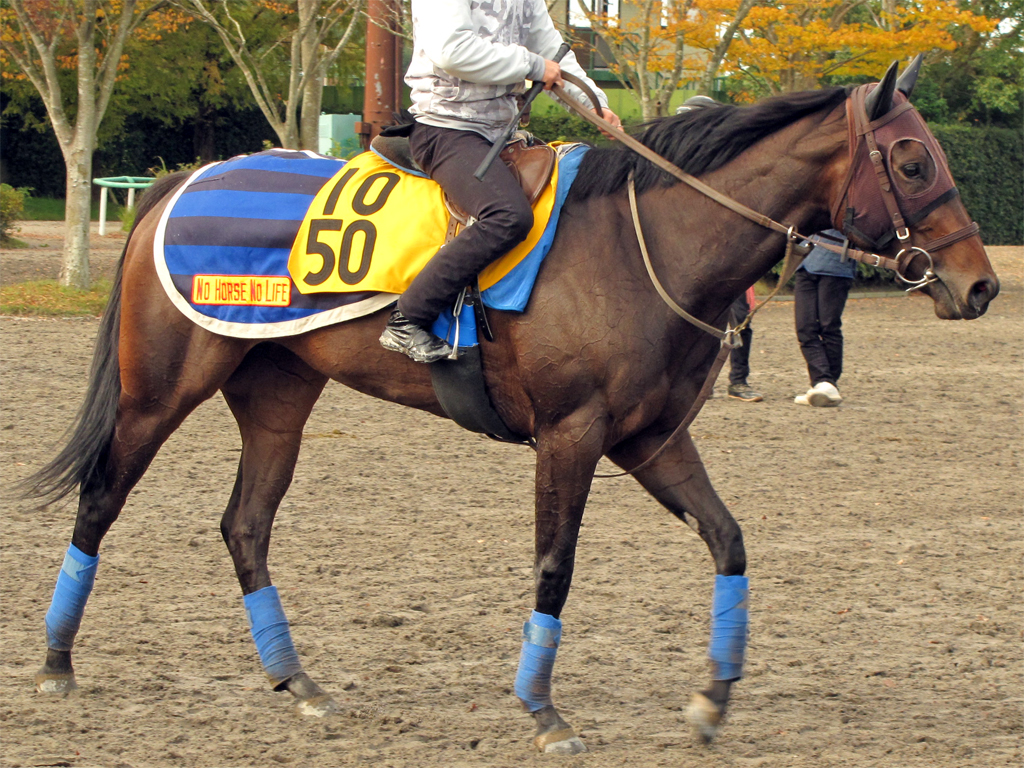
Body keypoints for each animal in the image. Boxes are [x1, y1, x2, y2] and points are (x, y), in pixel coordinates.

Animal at [25, 61, 999, 757]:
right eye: (914, 161)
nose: (980, 284)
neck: (643, 245)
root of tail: (179, 185)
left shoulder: (652, 442)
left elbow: (728, 540)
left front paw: (713, 698)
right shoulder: (570, 438)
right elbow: (554, 568)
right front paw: (542, 709)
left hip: (279, 398)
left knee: (245, 526)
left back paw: (298, 684)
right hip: (160, 391)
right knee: (101, 501)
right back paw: (57, 662)